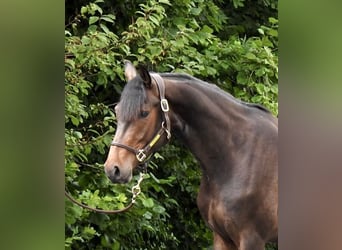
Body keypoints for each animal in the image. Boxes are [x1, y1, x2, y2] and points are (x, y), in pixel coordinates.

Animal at [104, 61, 278, 250]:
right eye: (117, 110)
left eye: (144, 113)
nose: (113, 169)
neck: (237, 156)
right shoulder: (222, 237)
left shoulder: (251, 239)